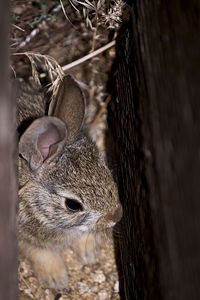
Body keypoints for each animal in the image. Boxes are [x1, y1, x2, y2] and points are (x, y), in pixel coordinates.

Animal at [17, 74, 123, 288]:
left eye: (104, 167)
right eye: (73, 205)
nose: (116, 216)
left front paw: (90, 253)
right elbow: (37, 252)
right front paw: (56, 279)